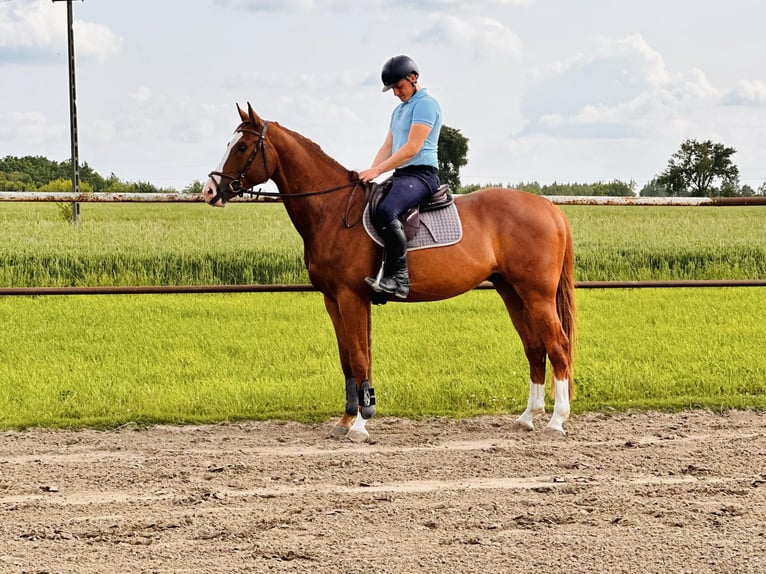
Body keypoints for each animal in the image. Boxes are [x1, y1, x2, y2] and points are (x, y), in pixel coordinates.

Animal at [202, 103, 576, 442]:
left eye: (241, 147)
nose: (209, 191)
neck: (333, 211)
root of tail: (549, 208)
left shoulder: (351, 297)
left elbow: (359, 357)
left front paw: (359, 426)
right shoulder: (333, 300)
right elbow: (348, 359)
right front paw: (345, 420)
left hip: (537, 295)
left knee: (557, 344)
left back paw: (557, 420)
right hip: (511, 291)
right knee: (534, 347)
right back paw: (527, 418)